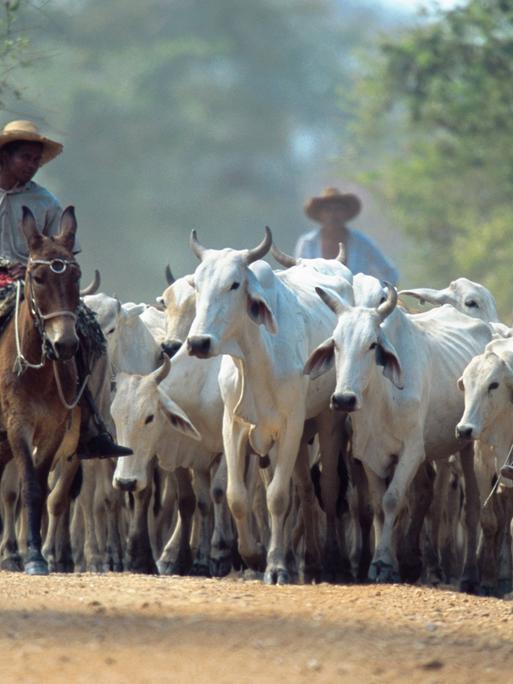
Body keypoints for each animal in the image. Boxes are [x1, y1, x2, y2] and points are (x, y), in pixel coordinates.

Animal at [185, 227, 356, 584]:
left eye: (234, 284)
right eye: (197, 283)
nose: (198, 342)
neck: (255, 358)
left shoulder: (289, 427)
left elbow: (277, 497)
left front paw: (276, 567)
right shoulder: (235, 426)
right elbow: (237, 496)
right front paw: (254, 555)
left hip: (327, 420)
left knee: (328, 488)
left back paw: (333, 561)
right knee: (304, 489)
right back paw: (310, 561)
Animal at [304, 280, 492, 584]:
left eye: (372, 345)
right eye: (336, 344)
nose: (344, 399)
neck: (381, 396)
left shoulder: (412, 451)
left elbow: (393, 500)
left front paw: (383, 564)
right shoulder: (368, 454)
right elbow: (379, 506)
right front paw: (381, 561)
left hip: (467, 445)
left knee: (471, 507)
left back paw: (469, 574)